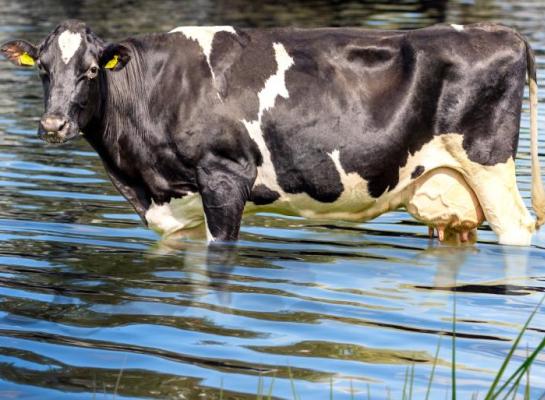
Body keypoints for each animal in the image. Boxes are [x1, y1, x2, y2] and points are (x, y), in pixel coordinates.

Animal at [1, 21, 544, 247]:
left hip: (491, 168)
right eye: (43, 69)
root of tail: (502, 32)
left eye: (92, 70)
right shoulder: (180, 204)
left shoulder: (225, 178)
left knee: (518, 231)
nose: (53, 124)